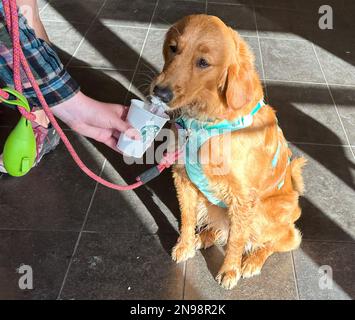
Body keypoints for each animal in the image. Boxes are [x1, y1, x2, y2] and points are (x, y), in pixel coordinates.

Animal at [150, 15, 306, 290]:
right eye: (173, 48)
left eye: (203, 62)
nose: (160, 93)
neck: (204, 123)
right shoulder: (182, 178)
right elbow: (187, 219)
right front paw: (185, 244)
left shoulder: (243, 198)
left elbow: (236, 240)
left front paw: (230, 269)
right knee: (221, 228)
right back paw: (203, 237)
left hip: (266, 213)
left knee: (285, 239)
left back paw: (252, 260)